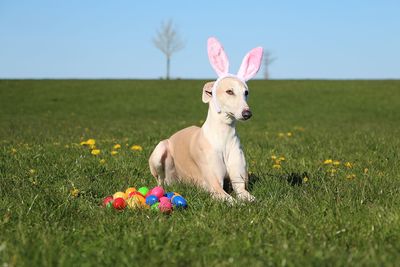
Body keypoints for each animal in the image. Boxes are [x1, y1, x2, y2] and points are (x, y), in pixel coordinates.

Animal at [149, 36, 262, 202]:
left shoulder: (240, 185)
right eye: (229, 91)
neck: (223, 136)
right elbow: (232, 200)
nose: (247, 113)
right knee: (160, 181)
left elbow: (249, 197)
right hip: (160, 151)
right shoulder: (215, 187)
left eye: (246, 92)